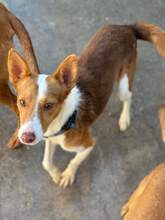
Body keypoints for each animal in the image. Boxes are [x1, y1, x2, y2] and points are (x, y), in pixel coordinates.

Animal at [8, 22, 165, 187]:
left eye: (49, 105)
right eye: (21, 102)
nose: (26, 138)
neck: (63, 121)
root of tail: (126, 26)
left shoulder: (88, 145)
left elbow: (75, 160)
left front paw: (68, 175)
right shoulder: (50, 139)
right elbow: (46, 163)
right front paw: (56, 174)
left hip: (124, 82)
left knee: (128, 97)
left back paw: (124, 119)